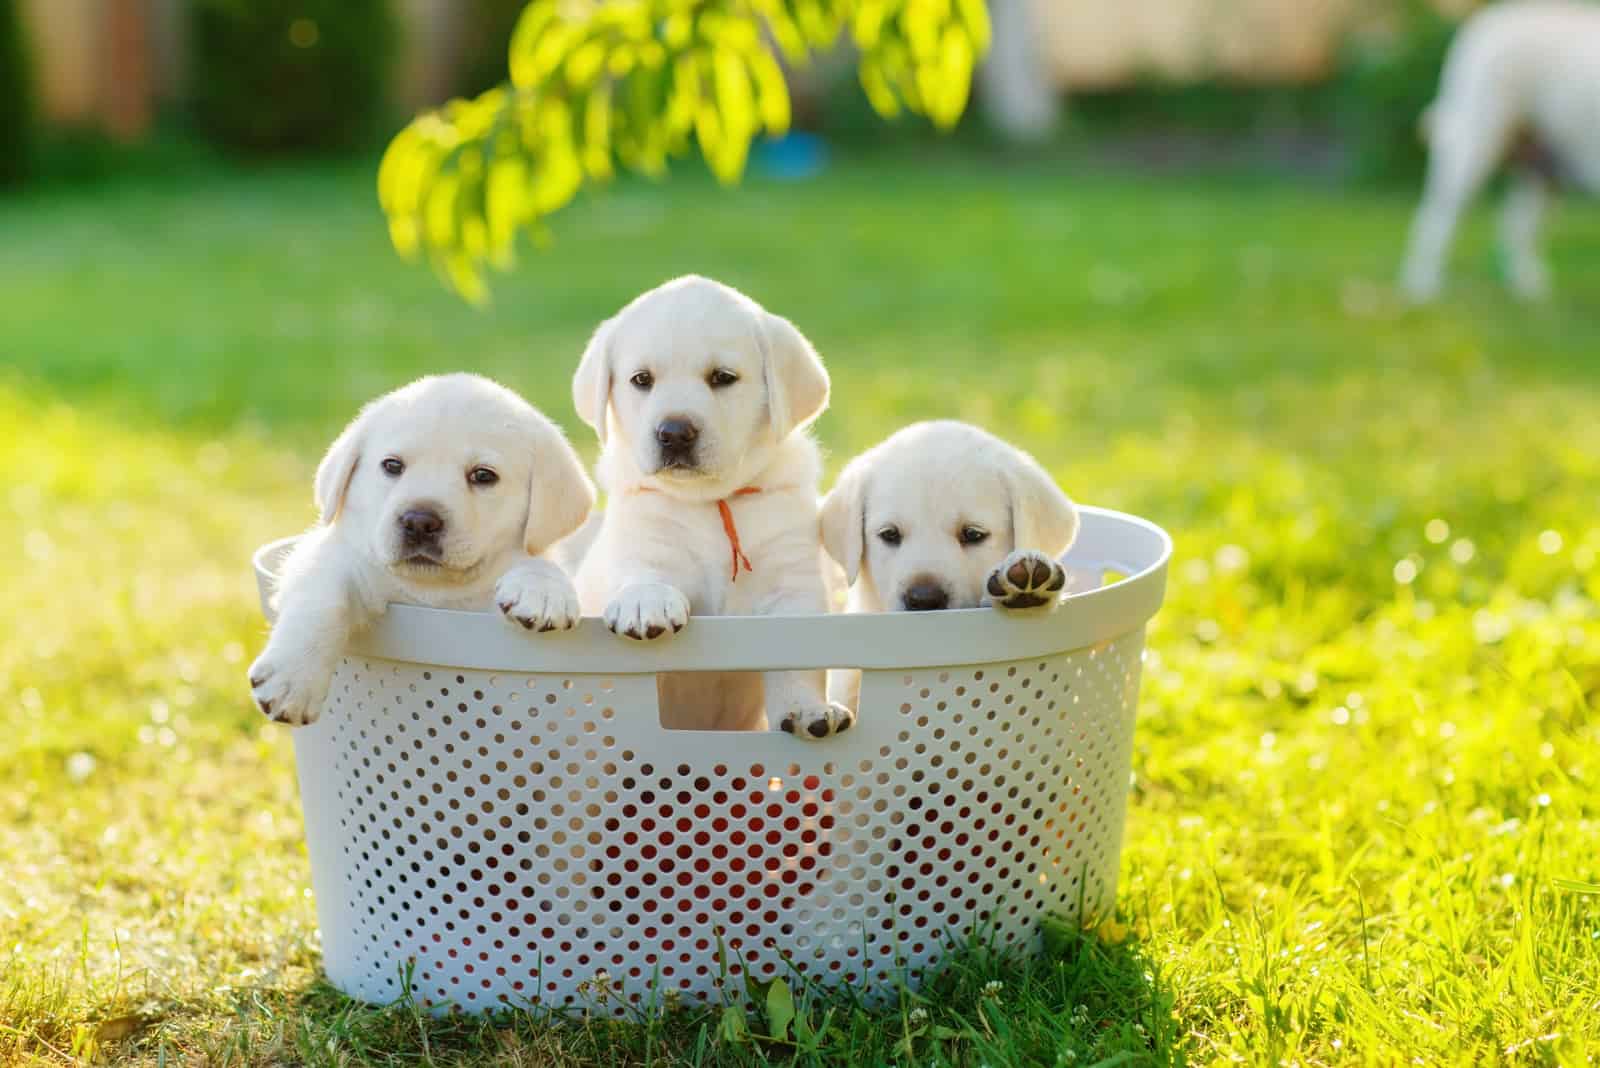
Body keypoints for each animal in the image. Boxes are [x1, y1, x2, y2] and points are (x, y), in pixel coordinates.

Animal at [246, 374, 598, 725]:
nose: (419, 522)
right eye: (392, 465)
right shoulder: (331, 555)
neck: (433, 591)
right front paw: (293, 679)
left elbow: (537, 562)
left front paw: (545, 591)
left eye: (483, 475)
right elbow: (322, 597)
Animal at [572, 274, 857, 738]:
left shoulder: (792, 585)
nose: (674, 432)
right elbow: (642, 573)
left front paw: (809, 709)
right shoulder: (641, 541)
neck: (711, 501)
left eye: (723, 377)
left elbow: (798, 660)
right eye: (641, 379)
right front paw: (646, 601)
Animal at [1401, 0, 1600, 300]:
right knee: (1434, 219)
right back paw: (1422, 287)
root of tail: (1487, 19)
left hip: (1539, 169)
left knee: (1515, 227)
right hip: (1475, 146)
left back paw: (1527, 288)